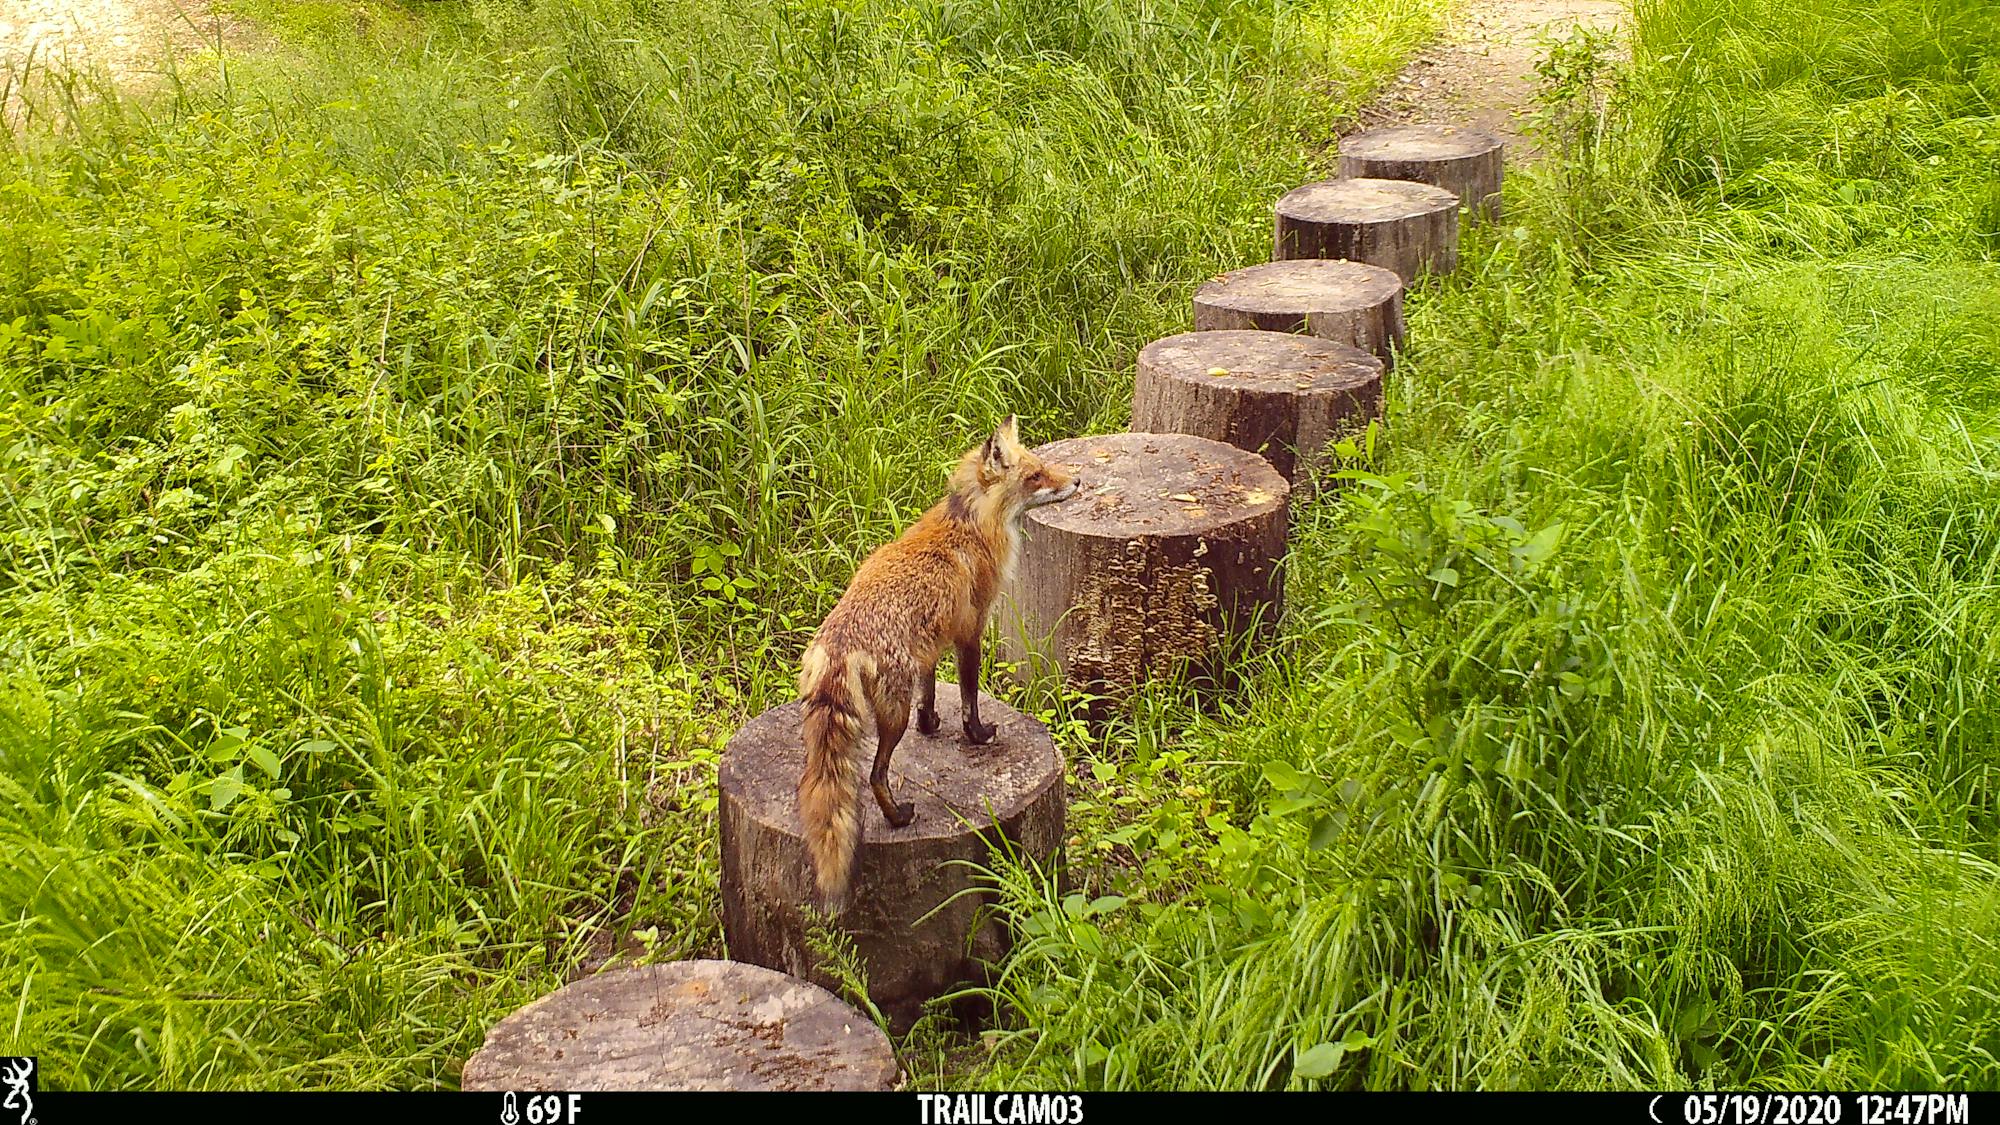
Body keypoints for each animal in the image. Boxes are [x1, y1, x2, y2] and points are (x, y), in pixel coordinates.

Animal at [792, 412, 1080, 912]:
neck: (971, 523)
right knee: (874, 776)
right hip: (892, 716)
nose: (1078, 481)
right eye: (1035, 476)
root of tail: (838, 640)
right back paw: (898, 817)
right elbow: (969, 696)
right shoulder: (971, 631)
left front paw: (931, 725)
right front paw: (977, 734)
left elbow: (930, 690)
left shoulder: (929, 644)